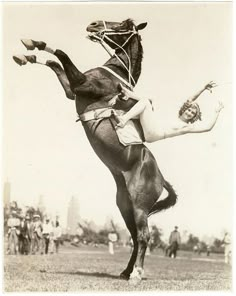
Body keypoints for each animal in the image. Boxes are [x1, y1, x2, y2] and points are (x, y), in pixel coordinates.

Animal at [12, 19, 176, 284]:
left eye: (124, 24)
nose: (94, 24)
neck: (114, 74)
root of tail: (161, 178)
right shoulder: (72, 90)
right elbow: (54, 63)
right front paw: (29, 52)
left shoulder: (81, 84)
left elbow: (61, 55)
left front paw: (32, 47)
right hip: (125, 205)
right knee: (134, 237)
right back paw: (126, 271)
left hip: (140, 205)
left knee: (144, 237)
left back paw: (137, 274)